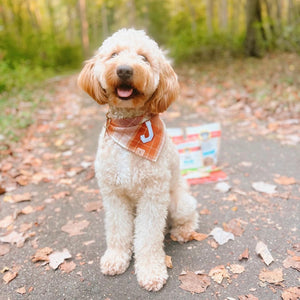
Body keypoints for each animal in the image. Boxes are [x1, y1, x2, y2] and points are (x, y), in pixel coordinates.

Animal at [78, 29, 198, 292]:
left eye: (144, 58)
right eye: (113, 54)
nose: (124, 70)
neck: (128, 129)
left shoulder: (152, 196)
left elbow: (148, 238)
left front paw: (151, 271)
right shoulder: (114, 195)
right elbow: (117, 230)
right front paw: (116, 258)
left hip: (178, 201)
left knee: (190, 216)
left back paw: (183, 231)